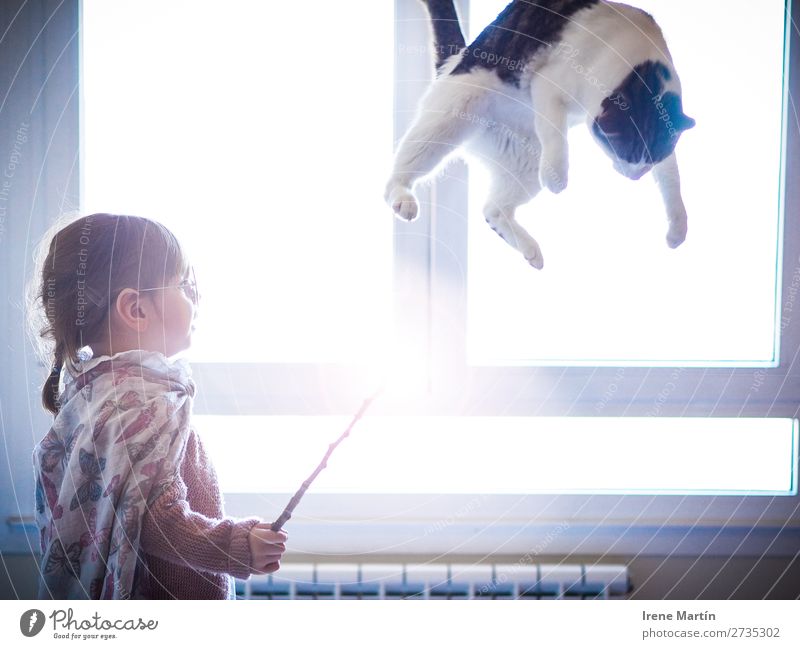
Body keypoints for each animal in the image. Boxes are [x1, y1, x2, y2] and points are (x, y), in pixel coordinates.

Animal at [384, 0, 696, 268]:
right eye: (625, 152)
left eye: (650, 160)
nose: (634, 176)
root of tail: (454, 62)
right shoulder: (547, 85)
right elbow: (555, 131)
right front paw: (557, 179)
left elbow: (672, 178)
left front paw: (678, 227)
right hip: (451, 113)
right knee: (398, 176)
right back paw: (402, 196)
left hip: (527, 162)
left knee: (493, 210)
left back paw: (531, 250)